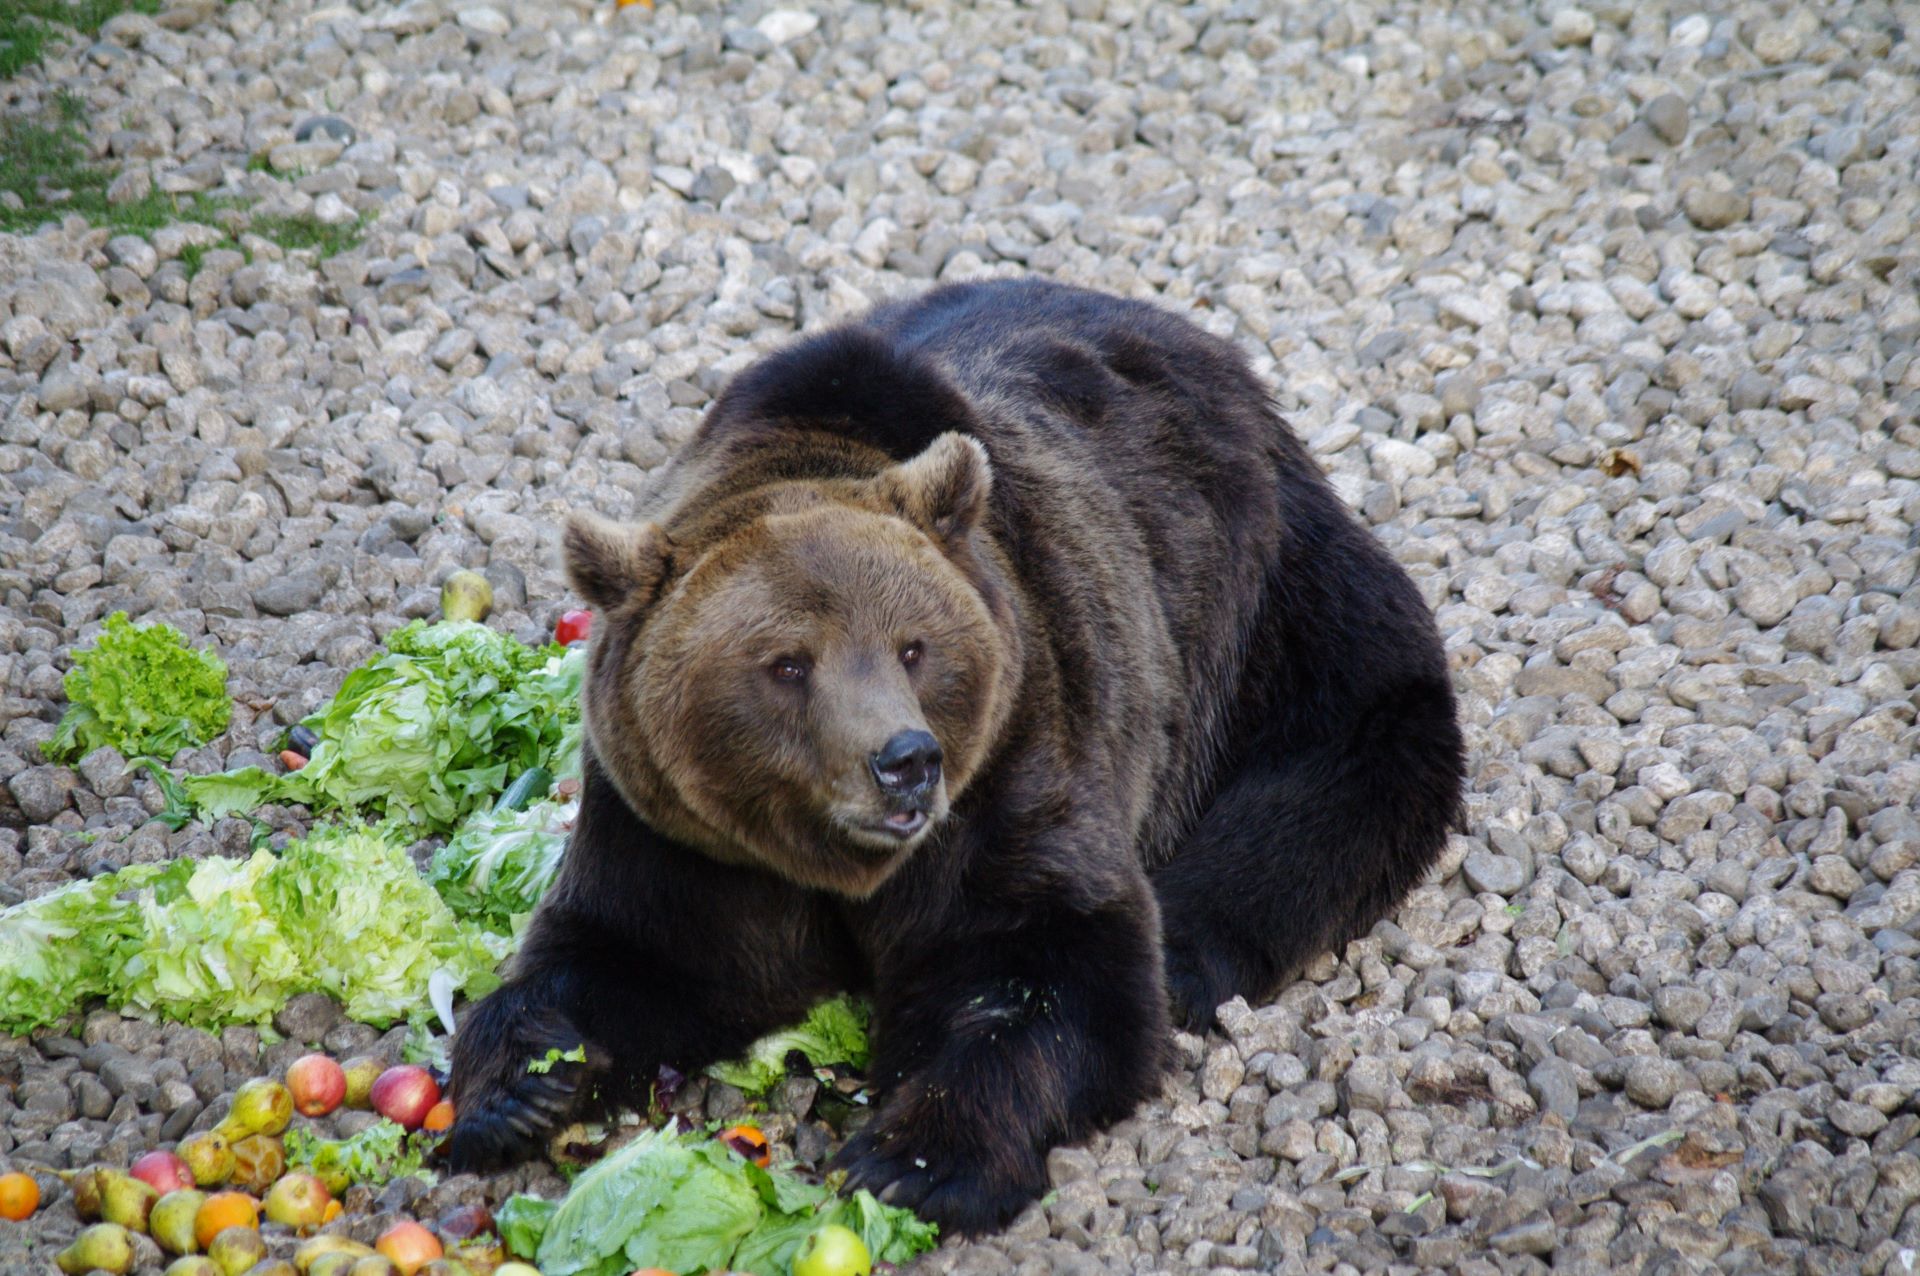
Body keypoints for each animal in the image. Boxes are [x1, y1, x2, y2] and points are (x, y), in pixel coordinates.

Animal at [449, 276, 1459, 1235]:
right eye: (787, 664)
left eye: (913, 647)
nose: (904, 761)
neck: (835, 867)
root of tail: (1206, 347)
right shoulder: (680, 832)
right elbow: (635, 953)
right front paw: (517, 1087)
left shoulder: (1014, 758)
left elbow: (1046, 964)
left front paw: (917, 1161)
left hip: (1257, 600)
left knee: (1343, 757)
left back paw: (1191, 950)